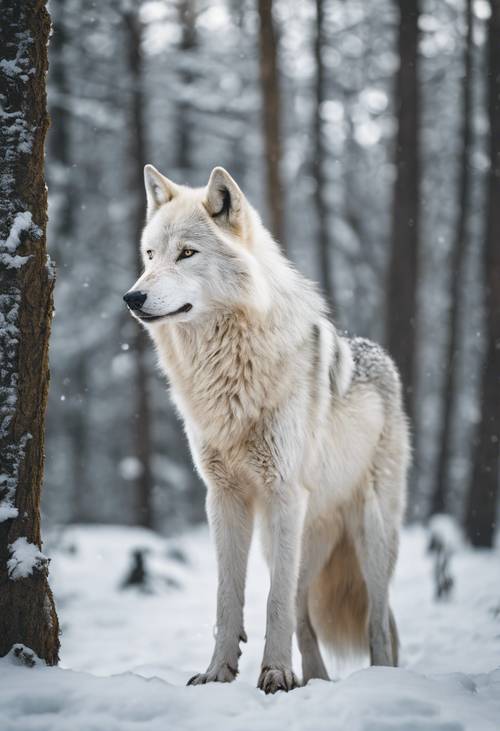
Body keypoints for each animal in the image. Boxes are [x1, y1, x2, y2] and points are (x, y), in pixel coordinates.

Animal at [125, 164, 410, 692]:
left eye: (187, 253)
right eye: (150, 255)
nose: (133, 297)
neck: (226, 370)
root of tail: (381, 356)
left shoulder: (283, 492)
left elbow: (273, 602)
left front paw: (274, 673)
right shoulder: (223, 497)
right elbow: (228, 597)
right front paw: (219, 672)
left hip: (371, 535)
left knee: (376, 622)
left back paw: (375, 678)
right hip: (288, 540)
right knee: (303, 613)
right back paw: (313, 679)